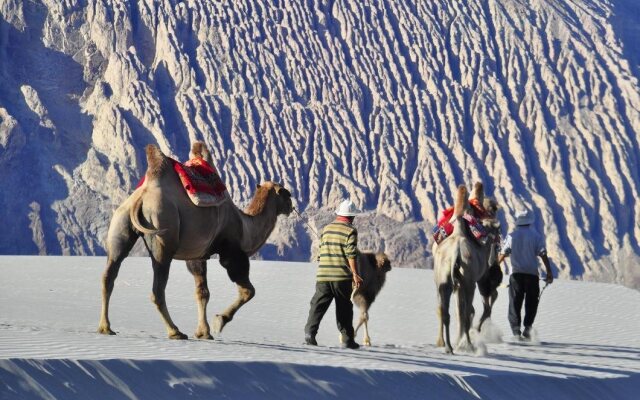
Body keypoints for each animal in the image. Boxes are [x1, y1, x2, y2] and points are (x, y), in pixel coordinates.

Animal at [97, 142, 292, 340]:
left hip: (120, 224)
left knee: (109, 275)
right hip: (162, 232)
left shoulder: (197, 253)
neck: (245, 225)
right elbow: (248, 291)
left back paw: (105, 327)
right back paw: (174, 331)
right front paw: (219, 321)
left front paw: (203, 332)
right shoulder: (231, 250)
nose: (292, 206)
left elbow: (202, 292)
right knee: (157, 289)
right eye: (286, 194)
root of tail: (141, 198)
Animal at [432, 184, 502, 354]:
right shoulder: (478, 278)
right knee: (470, 310)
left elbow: (457, 311)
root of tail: (456, 253)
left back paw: (448, 346)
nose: (497, 274)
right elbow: (467, 311)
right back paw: (469, 344)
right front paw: (463, 340)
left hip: (444, 281)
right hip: (470, 282)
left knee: (446, 312)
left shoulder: (455, 283)